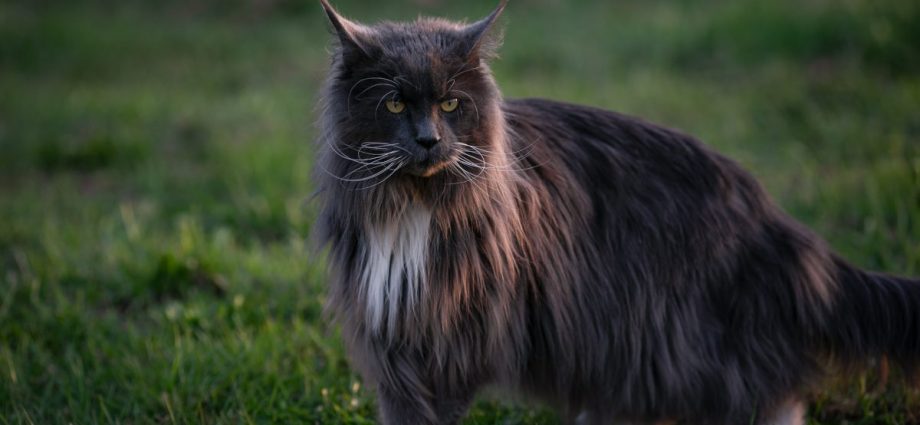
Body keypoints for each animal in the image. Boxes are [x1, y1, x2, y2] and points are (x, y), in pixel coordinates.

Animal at [314, 1, 920, 422]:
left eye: (450, 104)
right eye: (395, 103)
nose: (428, 139)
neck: (413, 211)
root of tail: (773, 218)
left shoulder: (459, 337)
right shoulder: (393, 340)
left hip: (679, 338)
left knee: (768, 396)